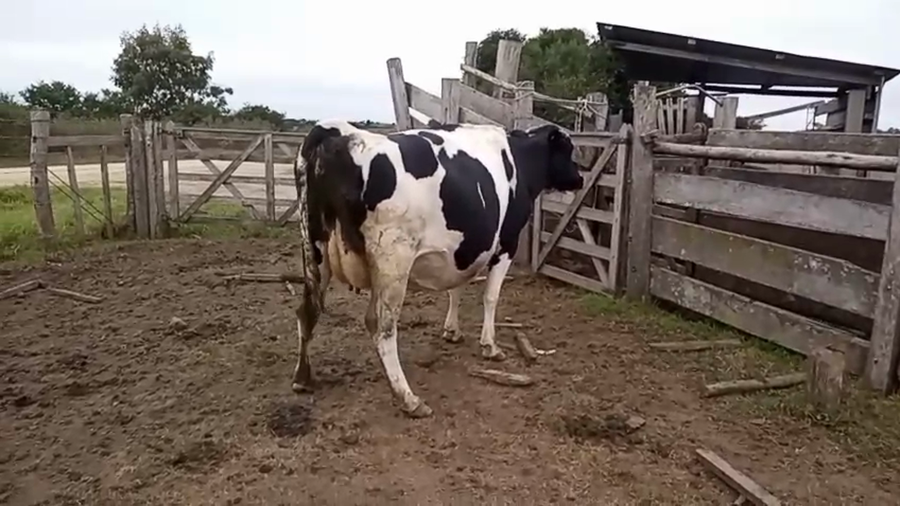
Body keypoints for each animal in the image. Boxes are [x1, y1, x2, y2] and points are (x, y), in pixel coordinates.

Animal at [291, 119, 584, 418]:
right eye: (568, 148)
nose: (580, 178)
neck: (519, 158)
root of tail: (337, 131)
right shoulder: (507, 244)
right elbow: (490, 297)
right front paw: (490, 345)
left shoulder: (464, 247)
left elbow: (455, 288)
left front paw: (451, 330)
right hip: (393, 260)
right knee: (382, 326)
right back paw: (408, 398)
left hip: (314, 251)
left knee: (307, 311)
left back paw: (303, 378)